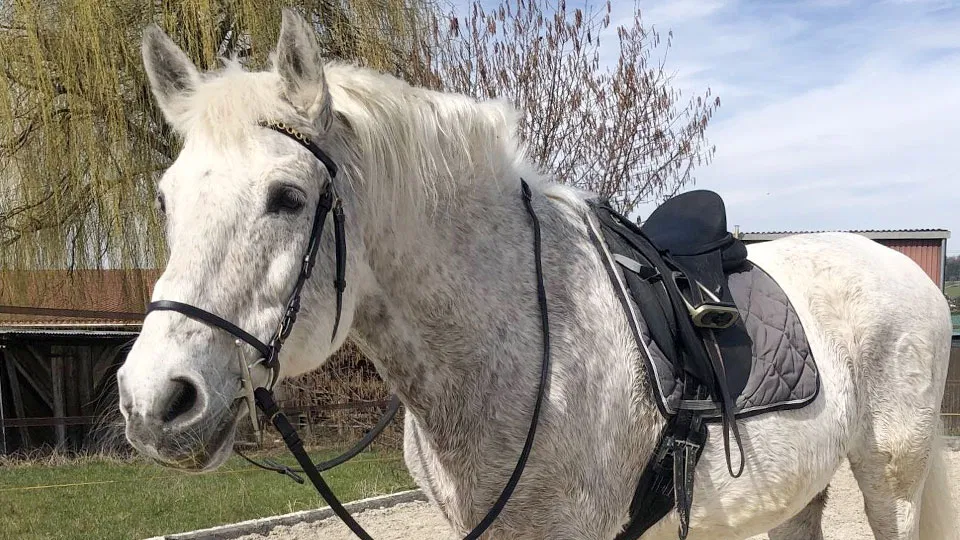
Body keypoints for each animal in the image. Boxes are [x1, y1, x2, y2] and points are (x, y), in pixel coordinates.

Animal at [117, 10, 956, 539]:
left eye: (288, 197)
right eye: (164, 199)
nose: (155, 401)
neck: (511, 339)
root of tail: (905, 268)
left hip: (889, 478)